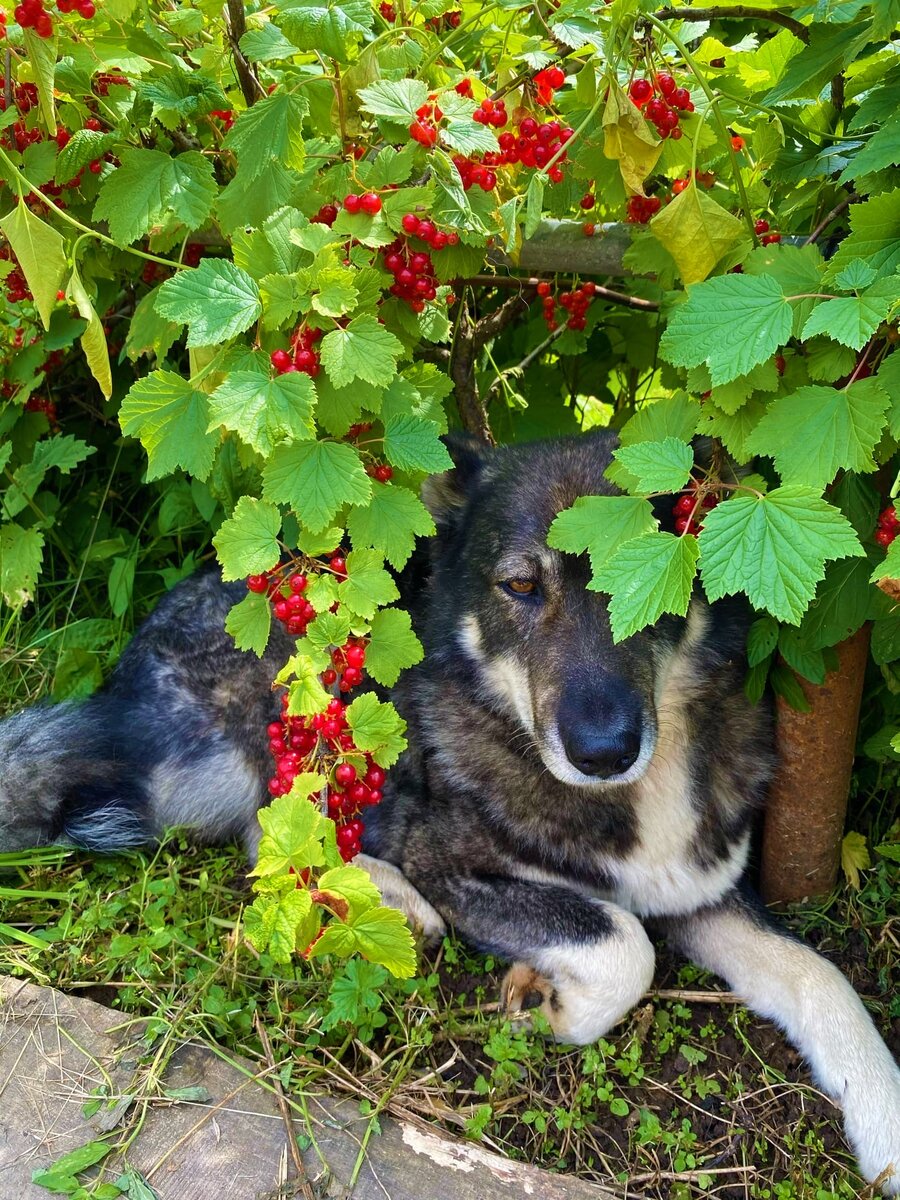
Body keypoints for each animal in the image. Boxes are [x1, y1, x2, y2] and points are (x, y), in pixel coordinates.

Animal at [0, 432, 897, 1190]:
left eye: (651, 577)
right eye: (521, 587)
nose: (604, 751)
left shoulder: (703, 890)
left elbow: (820, 975)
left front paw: (885, 1121)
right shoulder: (459, 868)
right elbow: (624, 943)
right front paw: (554, 1004)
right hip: (279, 718)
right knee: (266, 838)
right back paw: (390, 899)